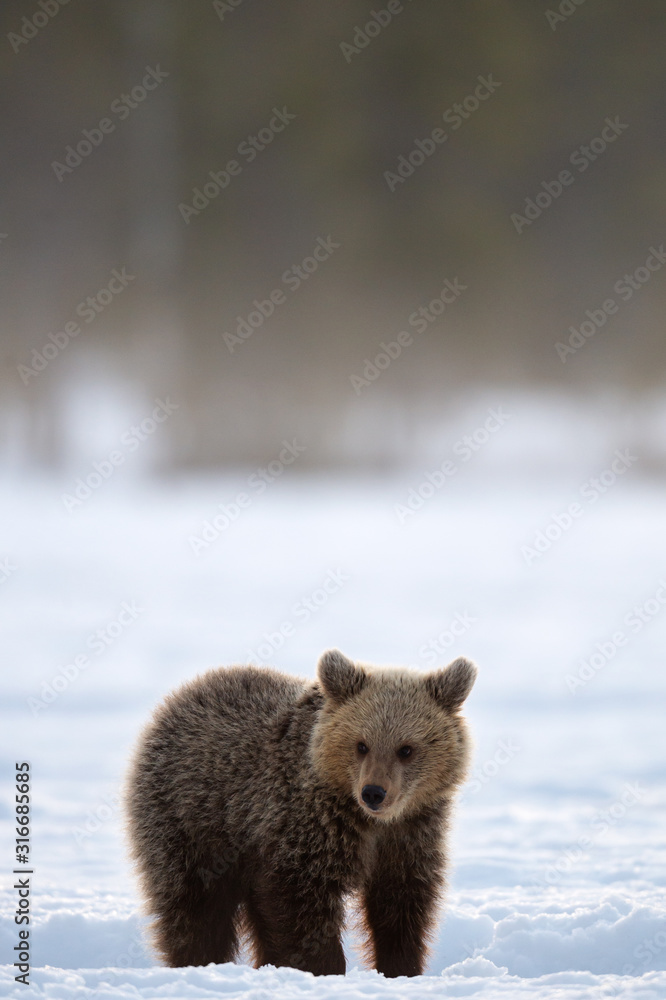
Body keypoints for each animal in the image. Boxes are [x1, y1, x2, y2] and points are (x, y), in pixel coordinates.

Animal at [124, 648, 477, 977]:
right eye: (361, 745)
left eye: (406, 749)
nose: (374, 792)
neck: (368, 822)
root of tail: (178, 697)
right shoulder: (305, 828)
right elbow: (303, 908)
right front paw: (325, 968)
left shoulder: (409, 835)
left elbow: (399, 906)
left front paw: (400, 967)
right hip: (191, 820)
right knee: (195, 909)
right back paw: (198, 961)